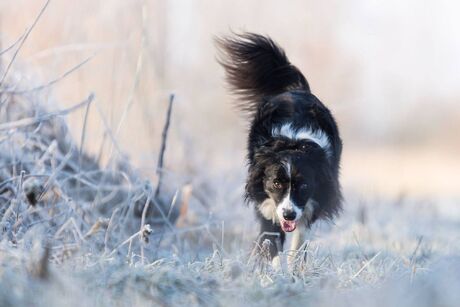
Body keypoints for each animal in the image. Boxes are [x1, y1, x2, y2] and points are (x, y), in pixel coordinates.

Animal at [216, 32, 342, 262]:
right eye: (276, 183)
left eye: (304, 185)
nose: (289, 214)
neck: (294, 142)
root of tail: (297, 89)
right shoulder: (267, 203)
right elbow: (271, 240)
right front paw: (271, 268)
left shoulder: (313, 200)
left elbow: (299, 242)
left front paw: (294, 269)